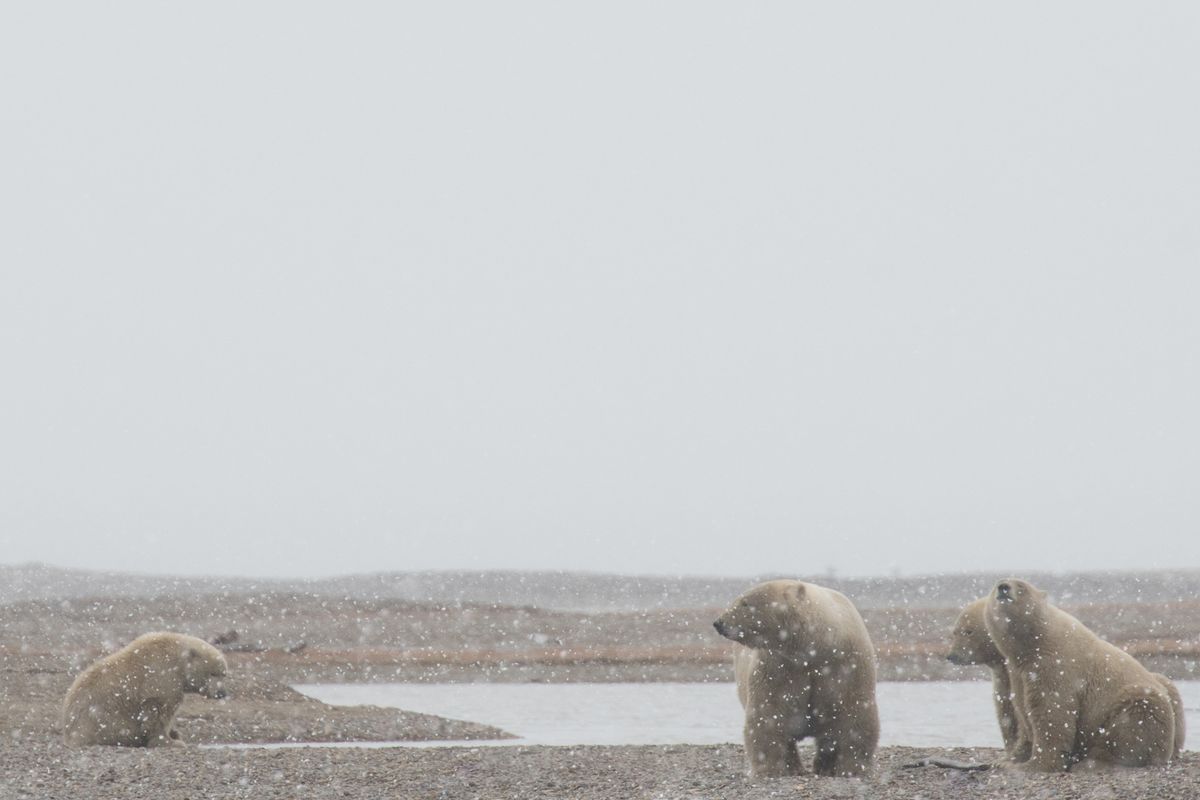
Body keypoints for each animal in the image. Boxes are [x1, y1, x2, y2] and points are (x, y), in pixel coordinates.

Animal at [62, 633, 228, 753]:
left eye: (224, 674)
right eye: (213, 673)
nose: (221, 693)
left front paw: (175, 734)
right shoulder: (161, 677)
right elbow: (159, 712)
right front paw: (171, 742)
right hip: (99, 719)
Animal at [710, 582, 883, 777]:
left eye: (745, 603)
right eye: (738, 600)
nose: (719, 623)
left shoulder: (845, 662)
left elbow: (854, 711)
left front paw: (852, 768)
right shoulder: (779, 666)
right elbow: (768, 713)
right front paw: (768, 770)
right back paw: (795, 767)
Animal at [984, 578, 1180, 772]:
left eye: (1021, 585)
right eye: (997, 584)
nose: (1003, 588)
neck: (1033, 643)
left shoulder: (1055, 665)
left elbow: (1052, 712)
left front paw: (1033, 765)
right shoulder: (1017, 672)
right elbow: (1022, 710)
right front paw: (1006, 760)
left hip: (1134, 703)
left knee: (1130, 725)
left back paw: (1093, 762)